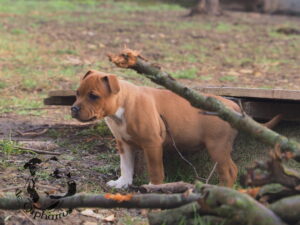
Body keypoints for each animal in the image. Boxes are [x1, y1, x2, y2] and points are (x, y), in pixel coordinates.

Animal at [72, 70, 278, 188]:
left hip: (217, 147)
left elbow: (155, 168)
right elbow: (126, 166)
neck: (122, 106)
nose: (73, 109)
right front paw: (122, 183)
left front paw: (154, 187)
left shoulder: (152, 143)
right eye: (77, 93)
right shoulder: (124, 144)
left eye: (93, 96)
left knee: (229, 171)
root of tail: (232, 107)